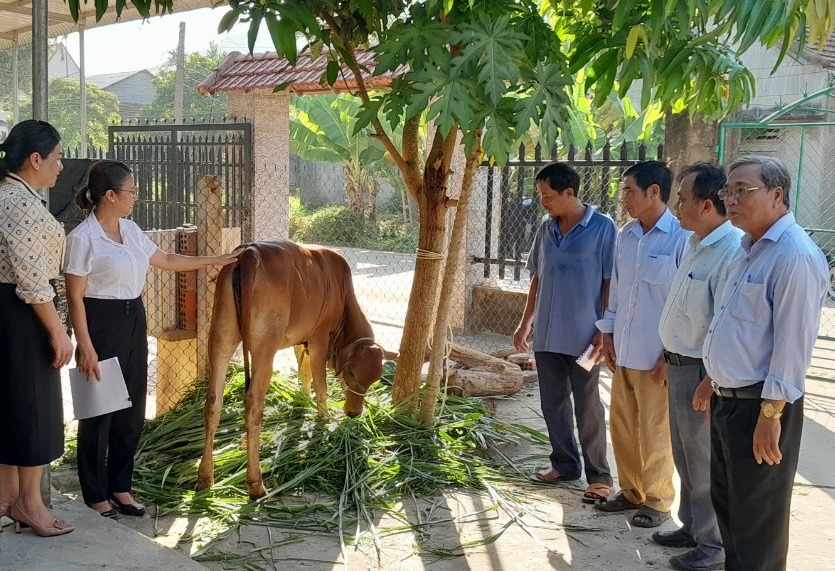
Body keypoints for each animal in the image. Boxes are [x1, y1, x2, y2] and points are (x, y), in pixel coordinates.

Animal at [196, 239, 396, 498]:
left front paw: (303, 399)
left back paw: (205, 477)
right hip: (264, 349)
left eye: (374, 380)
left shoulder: (301, 340)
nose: (353, 413)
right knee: (253, 403)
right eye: (351, 373)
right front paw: (323, 417)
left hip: (221, 337)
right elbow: (320, 382)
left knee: (213, 401)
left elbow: (305, 373)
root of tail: (250, 253)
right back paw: (256, 483)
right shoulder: (319, 337)